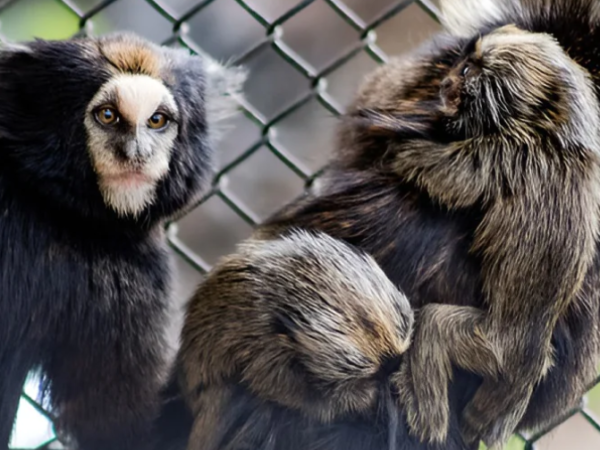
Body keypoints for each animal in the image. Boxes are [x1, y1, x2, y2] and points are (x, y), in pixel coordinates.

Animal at [0, 33, 244, 448]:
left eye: (157, 121)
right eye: (108, 115)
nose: (137, 153)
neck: (46, 203)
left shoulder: (128, 274)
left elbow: (122, 431)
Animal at [175, 0, 600, 450]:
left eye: (469, 71)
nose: (451, 78)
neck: (554, 135)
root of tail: (527, 358)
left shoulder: (498, 152)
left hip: (490, 344)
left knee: (433, 330)